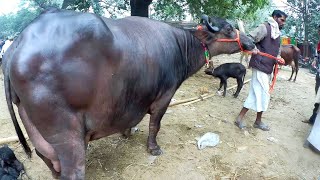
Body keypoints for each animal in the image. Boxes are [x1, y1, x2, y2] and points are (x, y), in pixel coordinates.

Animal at [1, 8, 254, 179]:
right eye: (229, 28)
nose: (251, 42)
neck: (179, 45)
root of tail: (17, 45)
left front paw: (126, 133)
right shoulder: (164, 96)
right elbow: (155, 125)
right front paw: (153, 148)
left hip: (34, 128)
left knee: (47, 158)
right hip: (67, 133)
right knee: (72, 168)